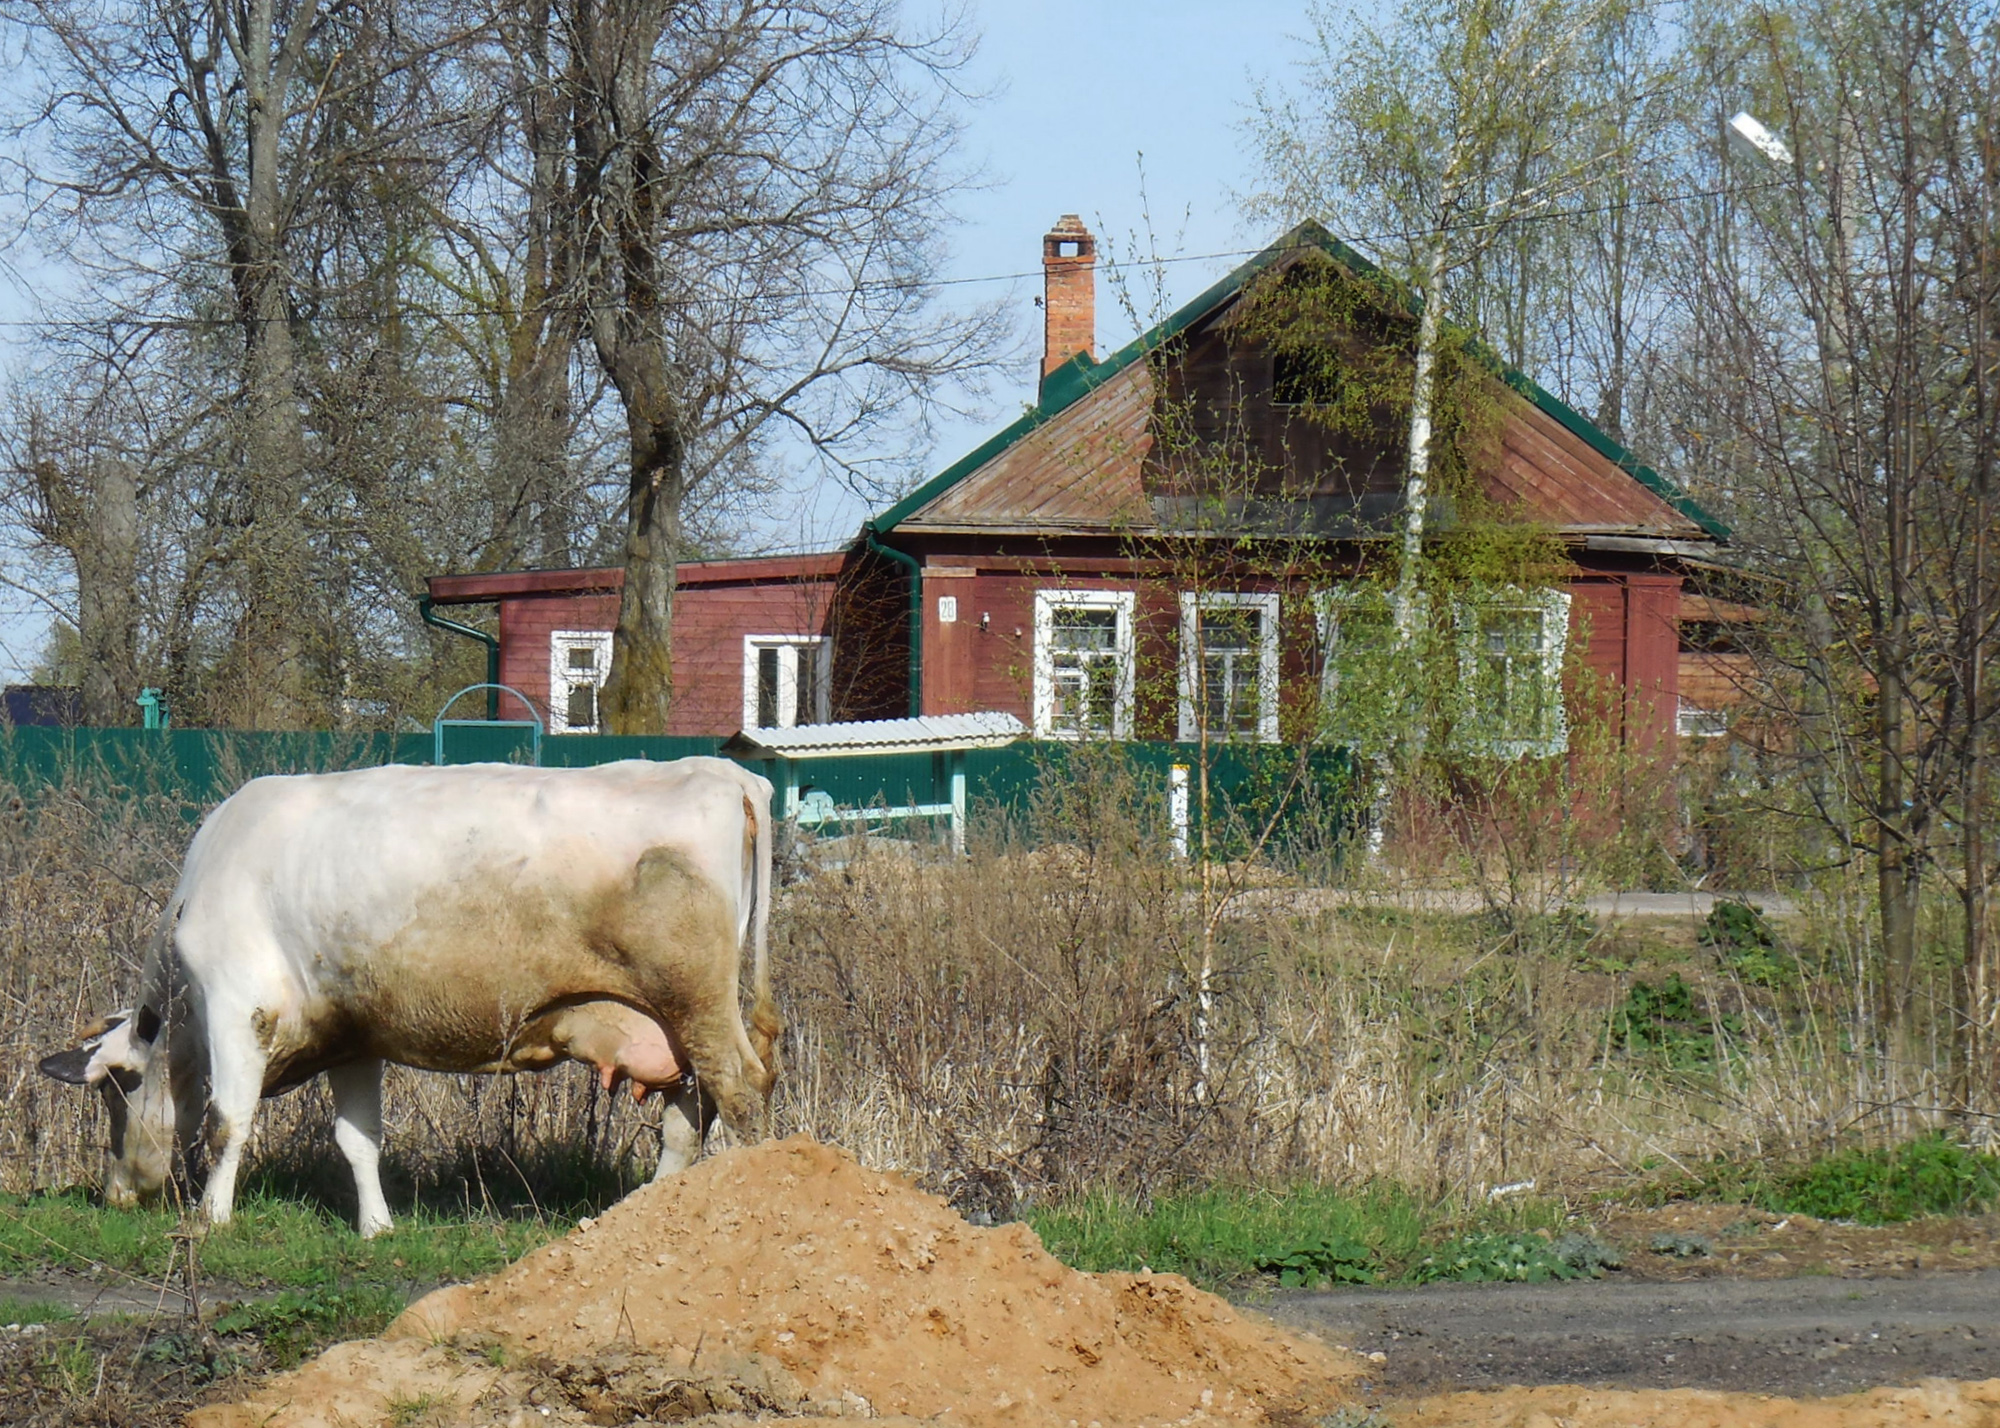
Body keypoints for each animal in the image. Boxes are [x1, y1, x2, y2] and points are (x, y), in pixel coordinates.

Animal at [37, 756, 780, 1232]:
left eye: (115, 1090)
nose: (115, 1194)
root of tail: (723, 771)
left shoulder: (237, 1004)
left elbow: (228, 1119)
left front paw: (210, 1218)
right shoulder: (350, 1033)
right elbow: (358, 1140)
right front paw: (377, 1226)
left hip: (696, 1002)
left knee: (741, 1090)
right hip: (674, 1022)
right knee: (689, 1115)